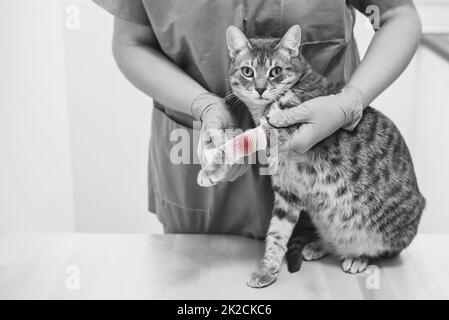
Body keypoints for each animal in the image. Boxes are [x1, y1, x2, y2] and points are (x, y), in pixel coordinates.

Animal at [198, 25, 426, 288]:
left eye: (276, 71)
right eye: (247, 71)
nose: (260, 88)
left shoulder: (286, 125)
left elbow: (243, 140)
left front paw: (213, 168)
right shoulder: (287, 191)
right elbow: (277, 233)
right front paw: (268, 269)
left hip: (387, 233)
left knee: (382, 251)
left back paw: (358, 257)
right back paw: (318, 246)